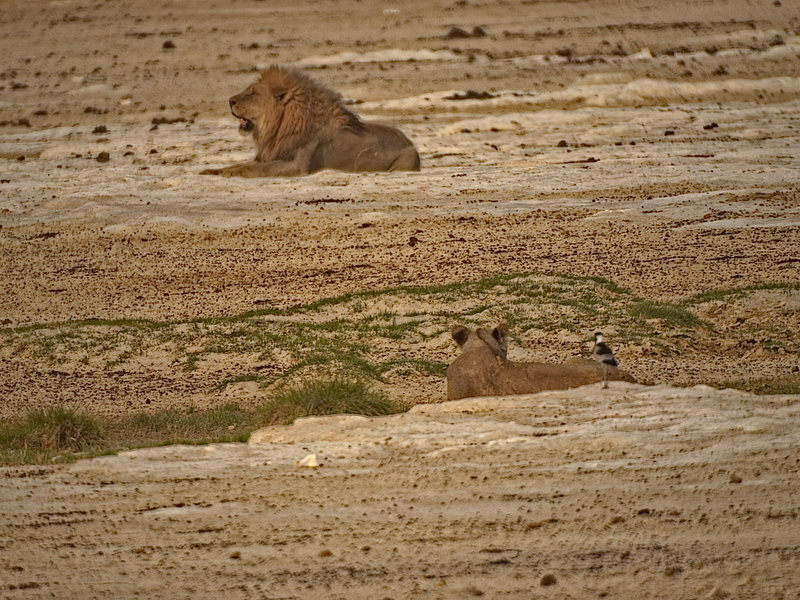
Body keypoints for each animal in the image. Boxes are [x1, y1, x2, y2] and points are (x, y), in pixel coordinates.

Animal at [200, 65, 421, 177]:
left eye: (253, 93)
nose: (230, 101)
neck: (278, 127)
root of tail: (410, 142)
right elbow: (238, 165)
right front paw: (211, 171)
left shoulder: (297, 166)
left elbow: (253, 169)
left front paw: (228, 174)